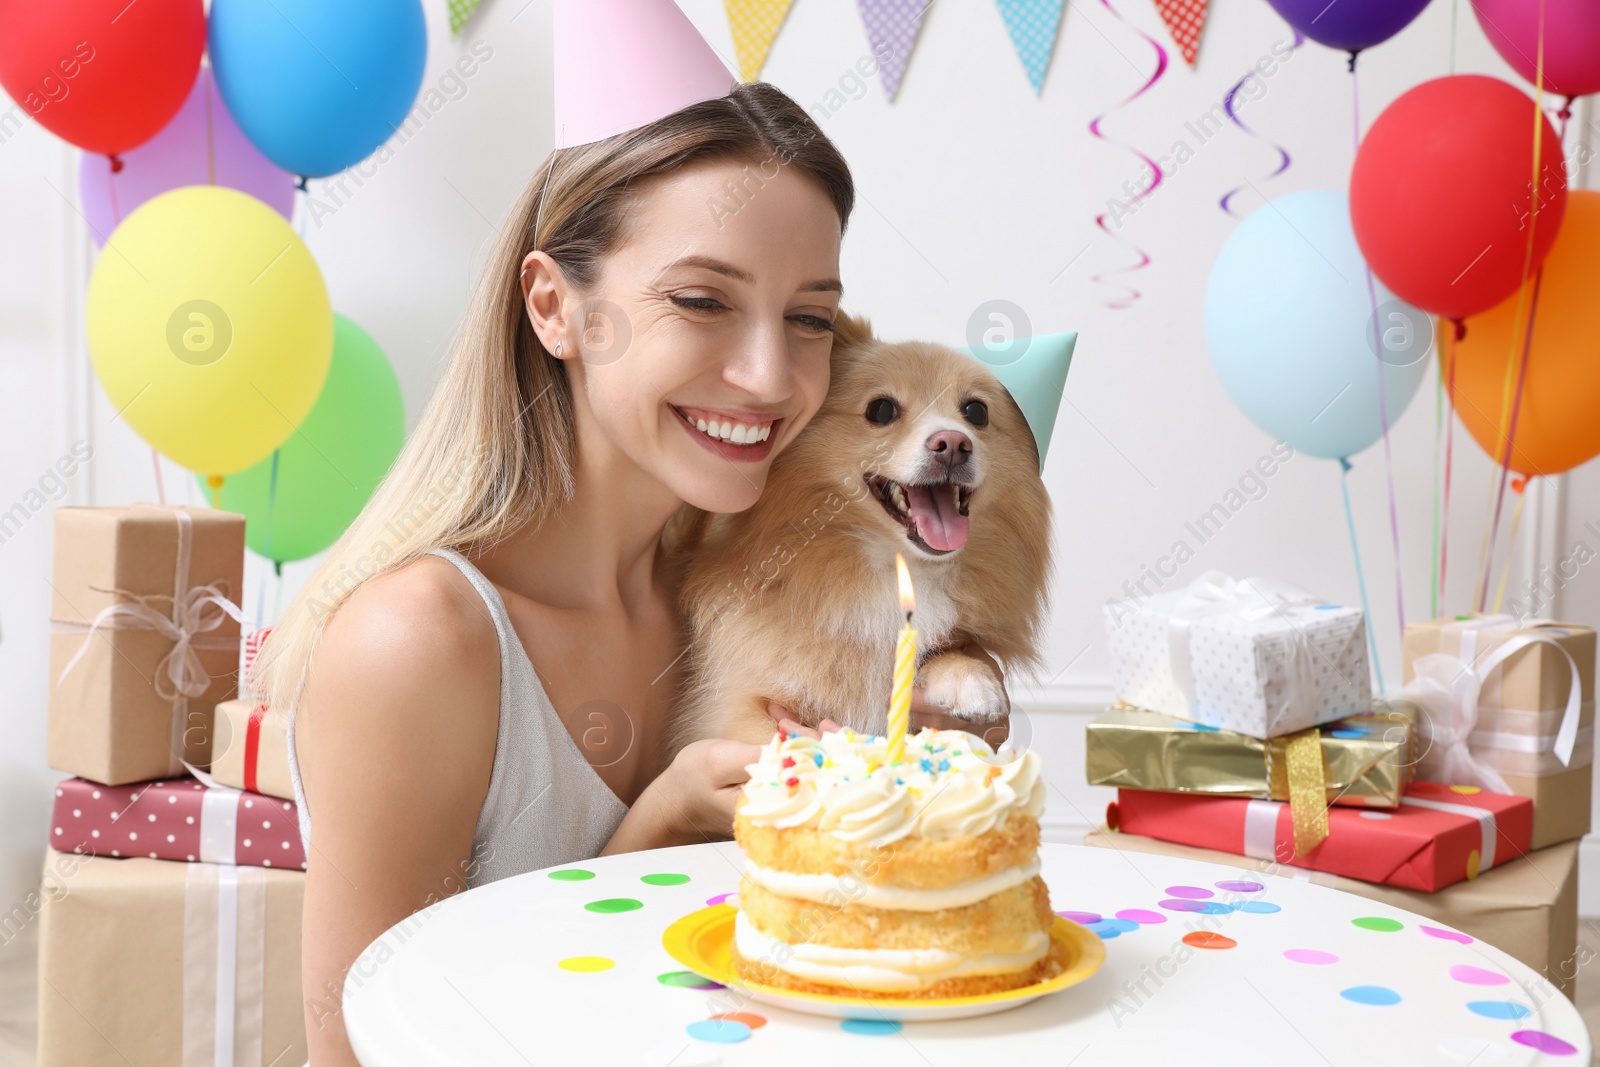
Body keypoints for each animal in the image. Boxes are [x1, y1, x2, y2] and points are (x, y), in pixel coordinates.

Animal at [668, 310, 1056, 751]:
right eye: (881, 410)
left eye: (976, 412)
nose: (953, 443)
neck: (893, 567)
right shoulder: (731, 712)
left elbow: (949, 651)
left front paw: (969, 679)